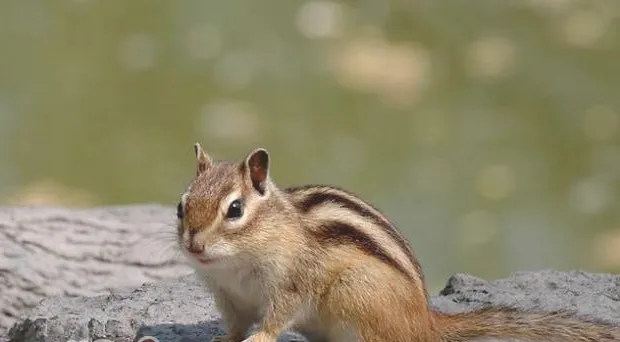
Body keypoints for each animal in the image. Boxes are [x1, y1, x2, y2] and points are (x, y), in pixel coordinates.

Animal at [174, 142, 620, 342]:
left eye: (234, 210)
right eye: (181, 206)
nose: (193, 246)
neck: (234, 263)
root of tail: (425, 321)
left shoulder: (293, 284)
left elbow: (276, 319)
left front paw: (260, 338)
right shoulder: (230, 298)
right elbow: (233, 325)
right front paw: (222, 339)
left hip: (355, 294)